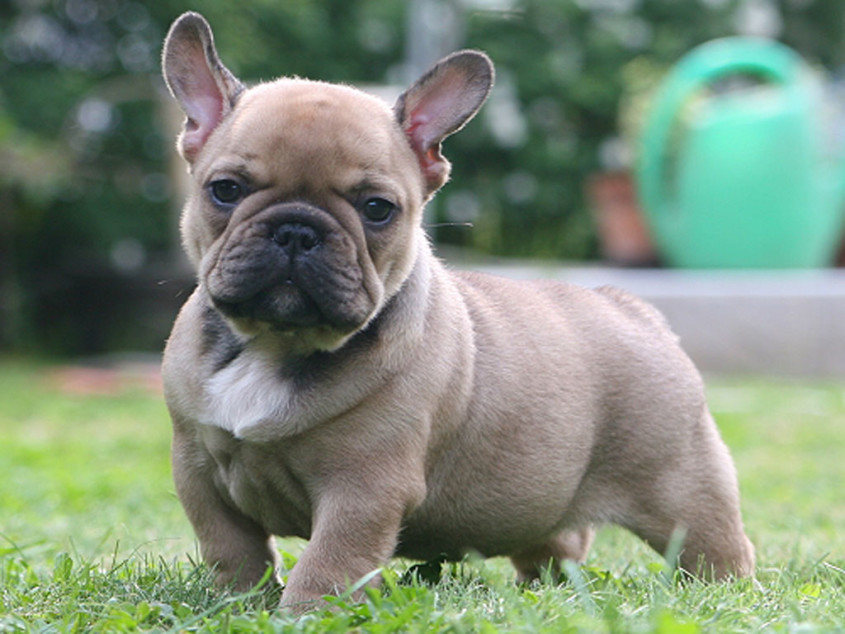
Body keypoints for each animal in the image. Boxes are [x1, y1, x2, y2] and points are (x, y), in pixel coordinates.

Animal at [162, 11, 756, 612]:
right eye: (225, 190)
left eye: (377, 209)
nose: (296, 230)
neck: (275, 342)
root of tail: (632, 309)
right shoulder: (196, 470)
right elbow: (231, 547)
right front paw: (240, 603)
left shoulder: (364, 487)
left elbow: (331, 560)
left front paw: (304, 614)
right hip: (545, 502)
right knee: (556, 545)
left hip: (681, 485)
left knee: (717, 547)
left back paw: (727, 592)